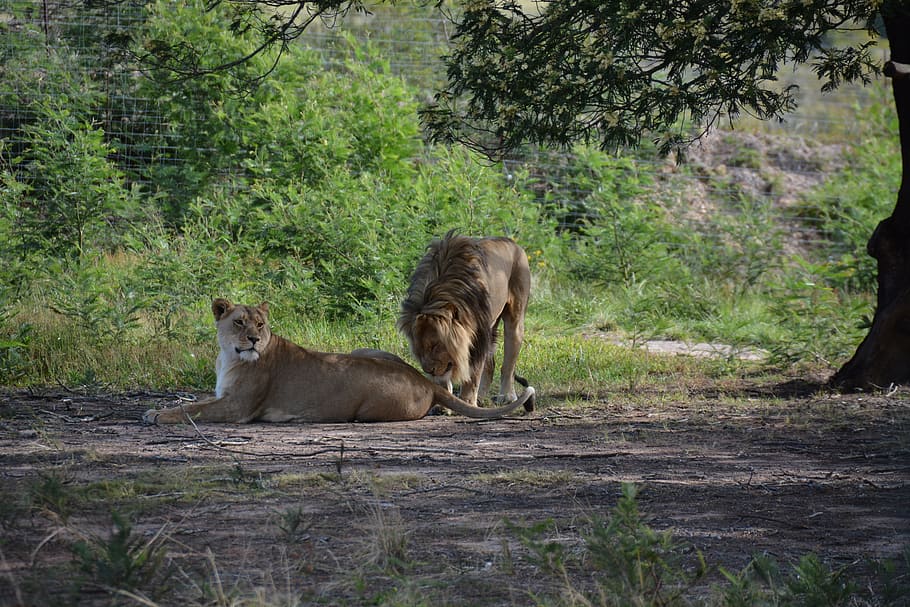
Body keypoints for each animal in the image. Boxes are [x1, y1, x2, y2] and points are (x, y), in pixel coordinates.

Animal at [142, 298, 536, 422]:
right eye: (239, 322)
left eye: (261, 324)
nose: (253, 338)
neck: (229, 357)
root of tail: (422, 379)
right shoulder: (225, 397)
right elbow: (195, 401)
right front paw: (154, 410)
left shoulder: (238, 408)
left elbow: (194, 410)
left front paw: (158, 416)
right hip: (364, 351)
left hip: (366, 410)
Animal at [400, 232, 536, 408]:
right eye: (419, 348)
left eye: (435, 345)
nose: (428, 370)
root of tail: (513, 243)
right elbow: (444, 377)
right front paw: (443, 405)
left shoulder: (476, 335)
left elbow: (472, 375)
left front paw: (466, 402)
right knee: (490, 365)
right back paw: (482, 397)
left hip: (515, 323)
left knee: (508, 367)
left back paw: (506, 396)